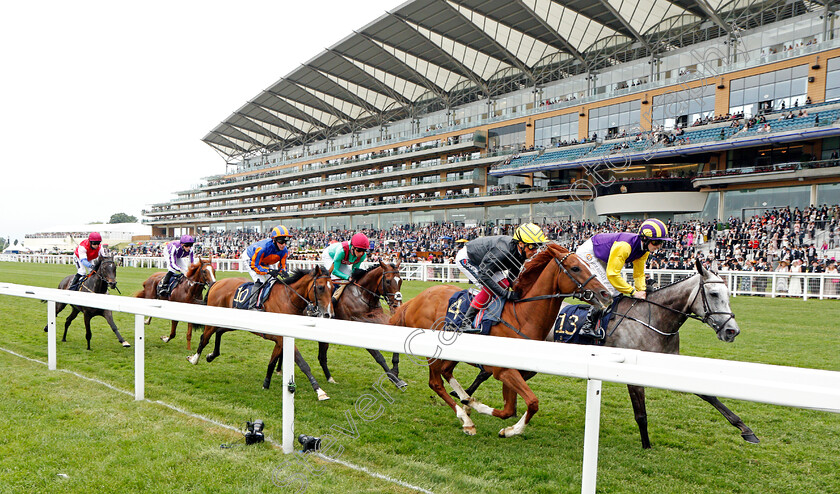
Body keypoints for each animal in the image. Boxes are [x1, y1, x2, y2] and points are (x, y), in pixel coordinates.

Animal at [189, 266, 336, 402]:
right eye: (321, 287)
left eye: (333, 287)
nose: (329, 314)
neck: (288, 299)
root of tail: (217, 283)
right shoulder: (283, 339)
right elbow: (303, 364)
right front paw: (320, 391)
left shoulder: (280, 340)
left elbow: (272, 362)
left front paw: (266, 384)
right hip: (213, 322)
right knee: (204, 338)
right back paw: (194, 359)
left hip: (233, 323)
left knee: (219, 332)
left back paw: (211, 355)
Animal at [316, 258, 406, 390]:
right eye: (388, 281)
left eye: (401, 281)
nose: (397, 306)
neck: (363, 296)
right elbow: (379, 357)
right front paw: (395, 379)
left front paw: (395, 370)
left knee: (322, 357)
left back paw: (330, 378)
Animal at [388, 243, 612, 436]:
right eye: (575, 268)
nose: (605, 293)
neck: (522, 317)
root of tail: (414, 301)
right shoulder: (504, 371)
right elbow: (532, 403)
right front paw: (505, 427)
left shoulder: (517, 370)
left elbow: (510, 409)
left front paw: (481, 410)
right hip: (434, 352)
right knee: (435, 382)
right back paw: (466, 419)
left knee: (446, 372)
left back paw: (465, 401)